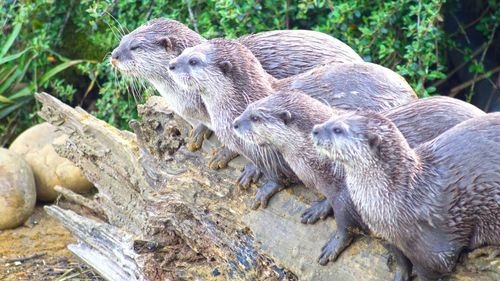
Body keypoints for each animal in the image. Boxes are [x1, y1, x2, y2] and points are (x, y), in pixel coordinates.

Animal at [109, 18, 362, 160]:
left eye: (135, 46)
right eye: (123, 39)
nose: (113, 55)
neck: (185, 99)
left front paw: (224, 154)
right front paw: (198, 132)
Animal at [233, 91, 484, 270]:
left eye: (255, 118)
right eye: (247, 107)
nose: (234, 123)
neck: (319, 164)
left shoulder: (349, 196)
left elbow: (346, 224)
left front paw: (334, 245)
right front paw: (319, 208)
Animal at [312, 110, 500, 278]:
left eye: (338, 129)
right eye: (332, 118)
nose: (315, 129)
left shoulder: (435, 253)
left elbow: (430, 271)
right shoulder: (390, 238)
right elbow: (401, 260)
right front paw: (401, 274)